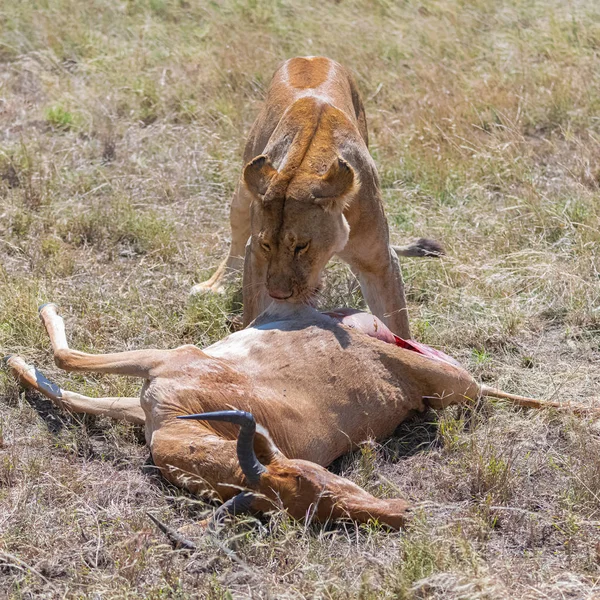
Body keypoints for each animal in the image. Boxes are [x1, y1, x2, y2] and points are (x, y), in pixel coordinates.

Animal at [4, 302, 596, 536]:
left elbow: (67, 360)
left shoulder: (166, 361)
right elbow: (72, 393)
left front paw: (31, 331)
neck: (193, 423)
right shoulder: (146, 402)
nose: (401, 514)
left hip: (433, 365)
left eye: (321, 479)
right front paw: (19, 363)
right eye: (314, 497)